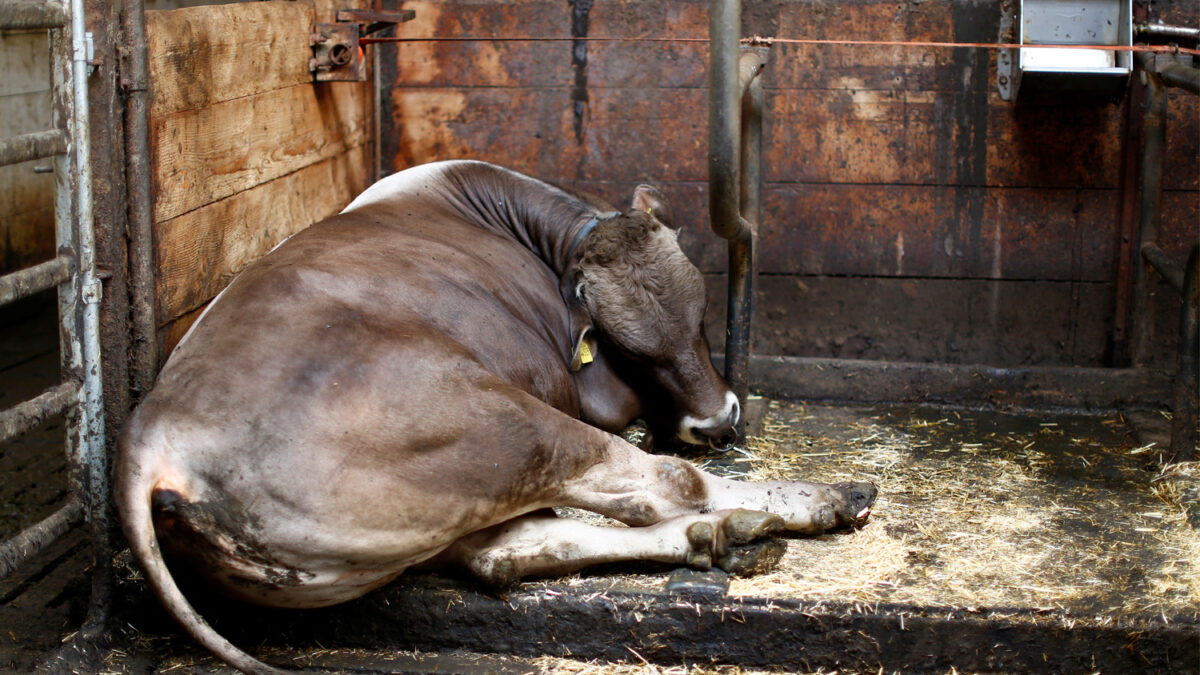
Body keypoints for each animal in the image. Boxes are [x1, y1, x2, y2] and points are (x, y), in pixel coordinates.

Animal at [117, 159, 878, 667]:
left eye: (699, 316)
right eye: (633, 349)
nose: (717, 423)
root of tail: (157, 434)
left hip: (412, 518)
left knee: (506, 552)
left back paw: (717, 535)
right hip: (506, 426)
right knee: (663, 484)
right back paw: (818, 499)